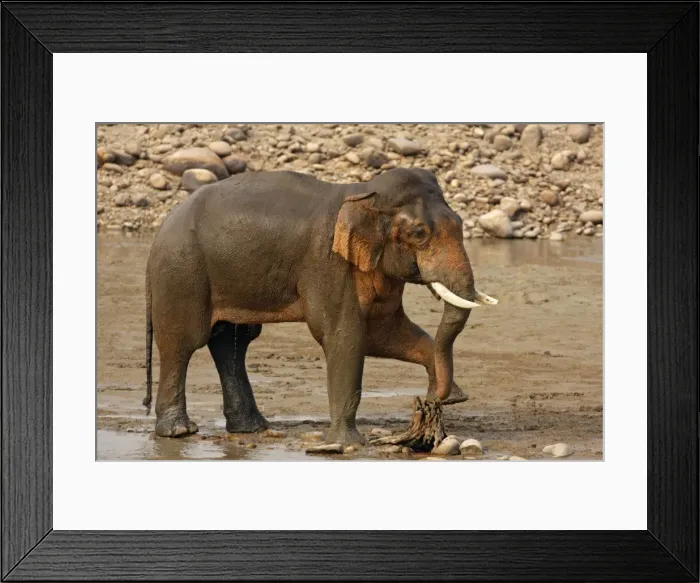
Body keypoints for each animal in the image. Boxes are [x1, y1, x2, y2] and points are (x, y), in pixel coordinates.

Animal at [143, 167, 497, 445]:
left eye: (460, 222)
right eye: (419, 233)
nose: (432, 398)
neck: (363, 194)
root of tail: (162, 226)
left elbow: (387, 333)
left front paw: (453, 395)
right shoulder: (327, 265)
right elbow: (346, 338)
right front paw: (348, 445)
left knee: (232, 343)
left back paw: (251, 428)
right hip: (181, 272)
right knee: (183, 343)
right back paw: (179, 432)